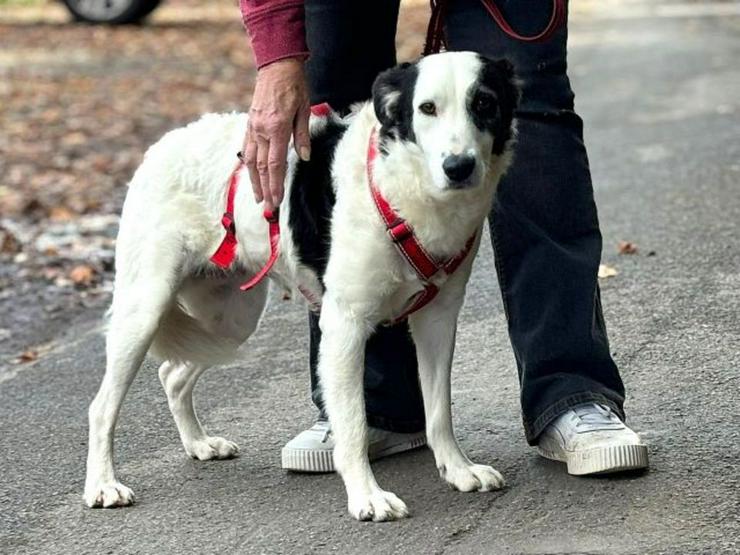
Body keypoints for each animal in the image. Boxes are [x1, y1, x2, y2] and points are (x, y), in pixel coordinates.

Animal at [84, 51, 516, 520]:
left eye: (485, 103)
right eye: (428, 108)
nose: (459, 167)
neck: (403, 188)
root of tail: (161, 145)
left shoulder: (437, 319)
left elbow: (439, 411)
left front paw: (458, 469)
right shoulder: (345, 325)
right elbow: (353, 423)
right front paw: (367, 496)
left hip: (228, 321)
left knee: (172, 374)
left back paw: (198, 443)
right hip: (145, 308)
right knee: (102, 407)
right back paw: (103, 485)